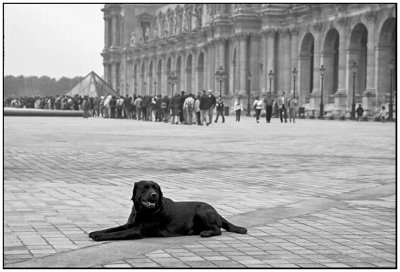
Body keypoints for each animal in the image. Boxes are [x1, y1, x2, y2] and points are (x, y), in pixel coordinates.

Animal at [89, 181, 247, 240]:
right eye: (144, 188)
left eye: (156, 188)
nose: (154, 195)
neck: (141, 211)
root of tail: (216, 211)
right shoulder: (129, 224)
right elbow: (112, 229)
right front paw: (96, 232)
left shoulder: (137, 230)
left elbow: (117, 233)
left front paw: (100, 237)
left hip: (202, 210)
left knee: (218, 229)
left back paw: (207, 232)